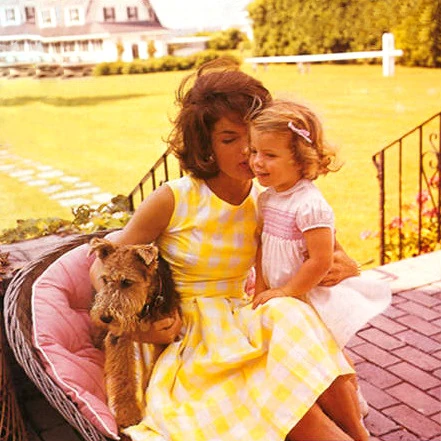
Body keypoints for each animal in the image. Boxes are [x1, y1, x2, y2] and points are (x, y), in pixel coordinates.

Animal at [88, 239, 180, 428]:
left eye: (127, 282)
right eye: (105, 279)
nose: (105, 317)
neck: (146, 306)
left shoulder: (164, 334)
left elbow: (155, 365)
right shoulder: (118, 336)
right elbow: (122, 374)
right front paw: (127, 413)